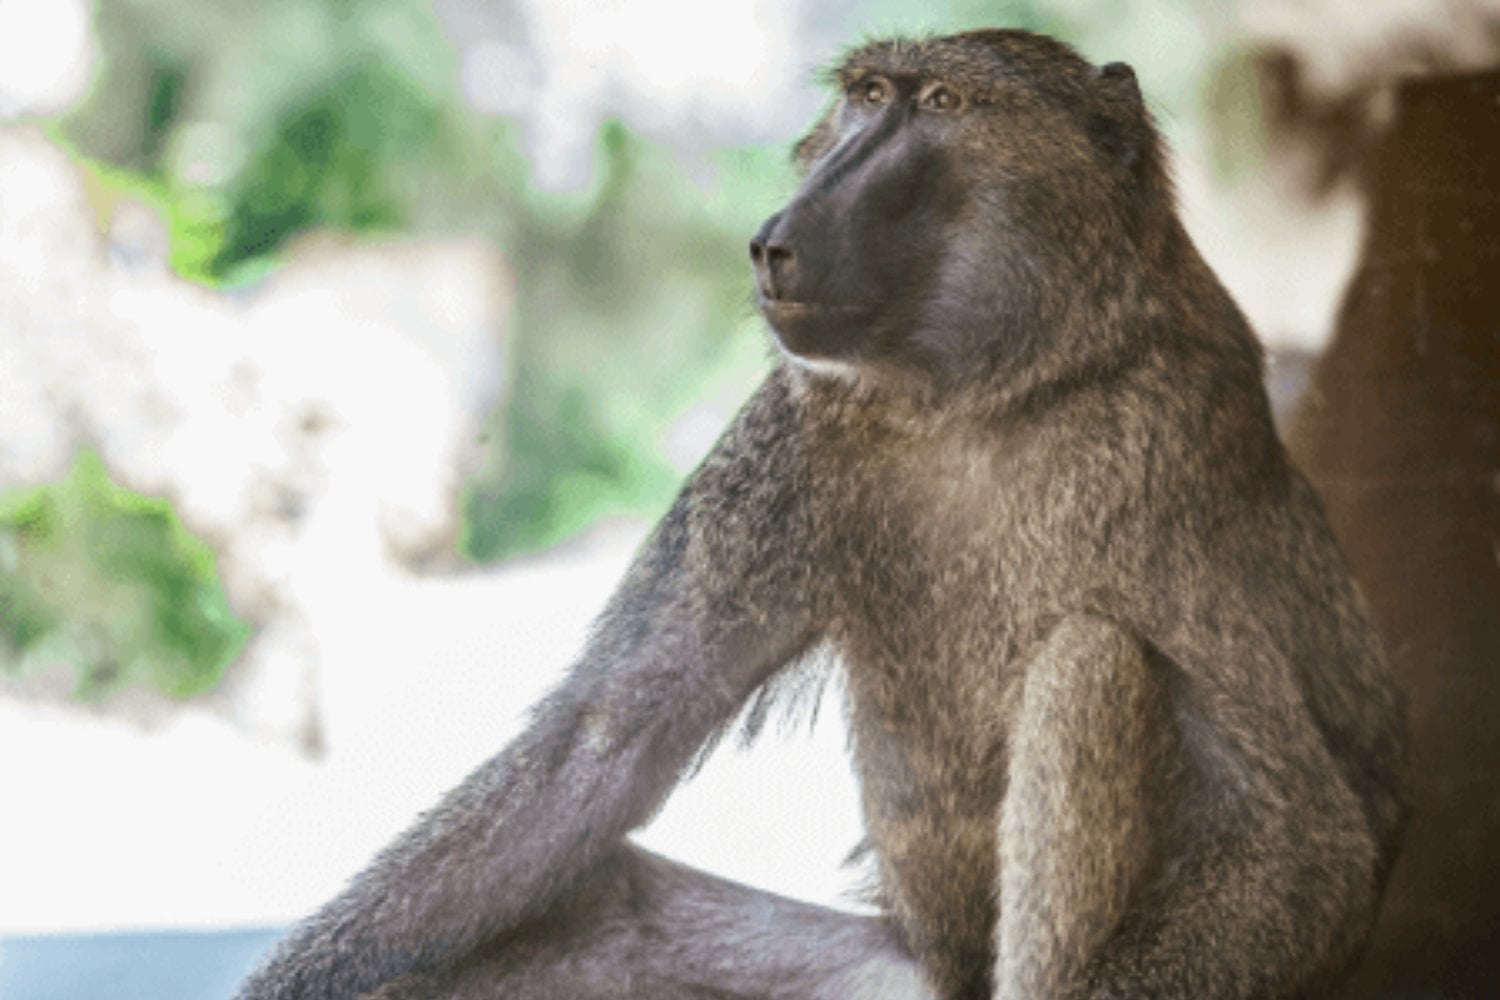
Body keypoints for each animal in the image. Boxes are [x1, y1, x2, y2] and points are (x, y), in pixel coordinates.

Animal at [237, 29, 1406, 1000]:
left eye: (943, 102)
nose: (774, 241)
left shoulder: (1169, 446)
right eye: (867, 96)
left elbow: (1297, 839)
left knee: (1091, 662)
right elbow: (598, 743)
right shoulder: (788, 435)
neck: (992, 388)